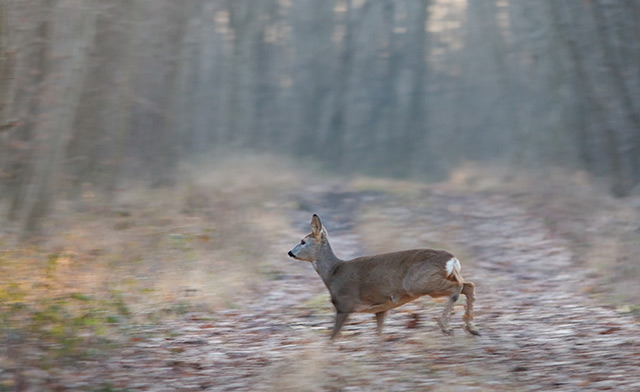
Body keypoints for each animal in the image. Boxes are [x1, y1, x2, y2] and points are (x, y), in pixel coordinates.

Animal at [288, 214, 478, 340]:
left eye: (303, 241)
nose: (290, 252)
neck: (333, 273)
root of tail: (451, 259)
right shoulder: (381, 308)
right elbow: (379, 336)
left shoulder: (344, 305)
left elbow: (333, 337)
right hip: (438, 279)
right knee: (468, 285)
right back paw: (471, 328)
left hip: (419, 283)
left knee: (458, 287)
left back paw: (446, 327)